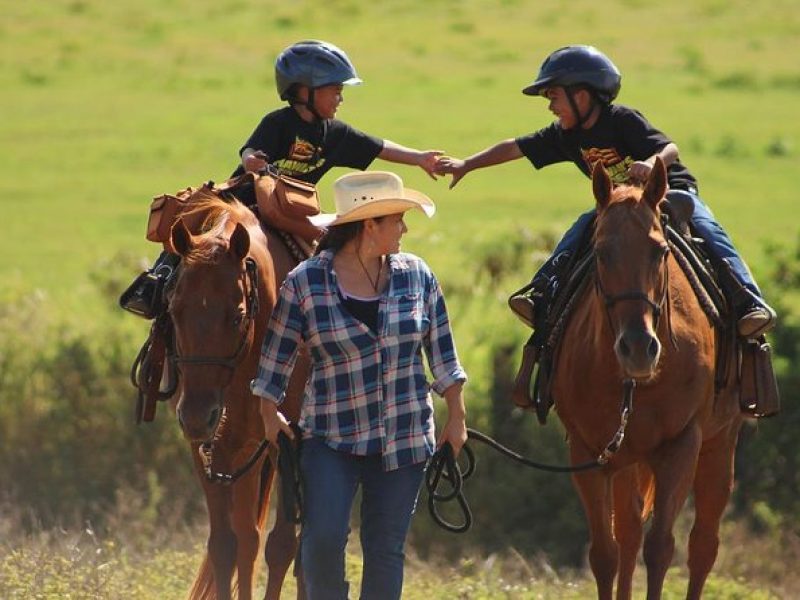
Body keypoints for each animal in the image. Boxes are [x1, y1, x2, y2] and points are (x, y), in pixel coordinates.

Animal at [167, 195, 308, 596]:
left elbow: (280, 545)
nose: (197, 416)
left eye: (236, 315)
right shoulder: (213, 449)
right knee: (247, 536)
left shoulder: (286, 442)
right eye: (174, 311)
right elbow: (227, 544)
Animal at [552, 159, 744, 600]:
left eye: (659, 250)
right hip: (627, 459)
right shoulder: (589, 452)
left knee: (702, 545)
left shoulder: (681, 445)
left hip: (719, 445)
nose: (638, 348)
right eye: (601, 252)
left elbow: (660, 549)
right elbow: (605, 553)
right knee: (628, 533)